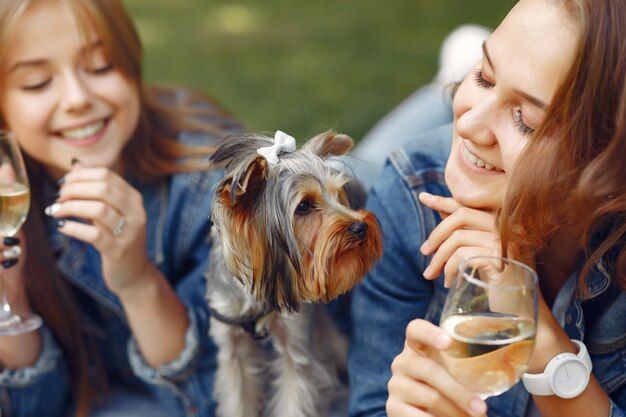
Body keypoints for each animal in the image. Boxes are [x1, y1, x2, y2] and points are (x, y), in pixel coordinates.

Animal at [206, 130, 380, 416]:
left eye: (337, 194)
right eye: (304, 206)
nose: (360, 227)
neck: (260, 293)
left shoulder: (295, 342)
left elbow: (295, 392)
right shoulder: (231, 346)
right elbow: (237, 398)